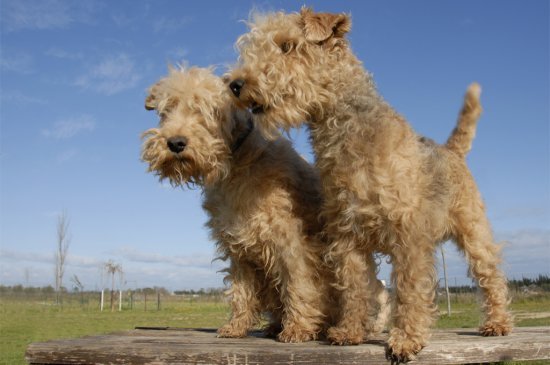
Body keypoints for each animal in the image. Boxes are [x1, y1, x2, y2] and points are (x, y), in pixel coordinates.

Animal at [142, 65, 392, 342]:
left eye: (207, 109)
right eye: (166, 110)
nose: (175, 143)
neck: (236, 165)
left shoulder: (289, 240)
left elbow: (298, 285)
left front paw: (297, 328)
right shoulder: (238, 245)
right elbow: (240, 291)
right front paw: (236, 326)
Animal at [227, 8, 512, 362]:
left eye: (287, 45)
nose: (235, 84)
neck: (347, 135)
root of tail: (451, 151)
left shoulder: (408, 237)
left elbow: (409, 292)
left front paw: (405, 341)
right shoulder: (346, 237)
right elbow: (353, 288)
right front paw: (349, 332)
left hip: (474, 233)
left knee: (492, 277)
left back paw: (497, 324)